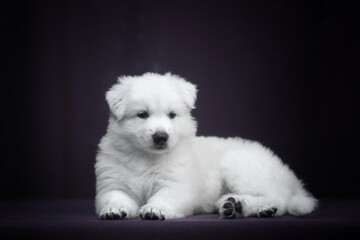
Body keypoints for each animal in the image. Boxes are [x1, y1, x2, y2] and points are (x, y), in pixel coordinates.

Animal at [94, 72, 316, 219]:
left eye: (172, 115)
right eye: (142, 114)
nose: (161, 137)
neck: (147, 157)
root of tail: (290, 177)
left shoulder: (177, 184)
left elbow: (165, 195)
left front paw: (154, 209)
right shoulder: (112, 181)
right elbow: (115, 196)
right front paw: (114, 209)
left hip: (241, 167)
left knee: (279, 198)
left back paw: (262, 208)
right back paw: (233, 205)